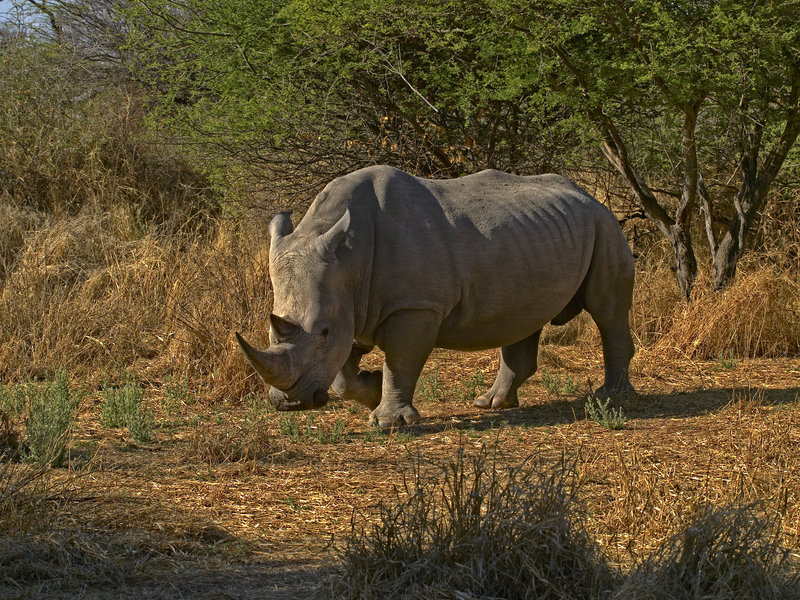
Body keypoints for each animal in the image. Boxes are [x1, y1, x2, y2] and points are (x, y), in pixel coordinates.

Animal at [236, 166, 635, 428]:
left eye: (323, 331)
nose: (289, 403)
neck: (349, 258)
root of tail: (588, 195)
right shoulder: (355, 302)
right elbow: (342, 375)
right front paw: (371, 389)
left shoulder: (414, 306)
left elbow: (402, 361)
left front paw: (388, 422)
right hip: (537, 235)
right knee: (524, 318)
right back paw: (490, 403)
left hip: (604, 225)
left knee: (608, 312)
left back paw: (611, 398)